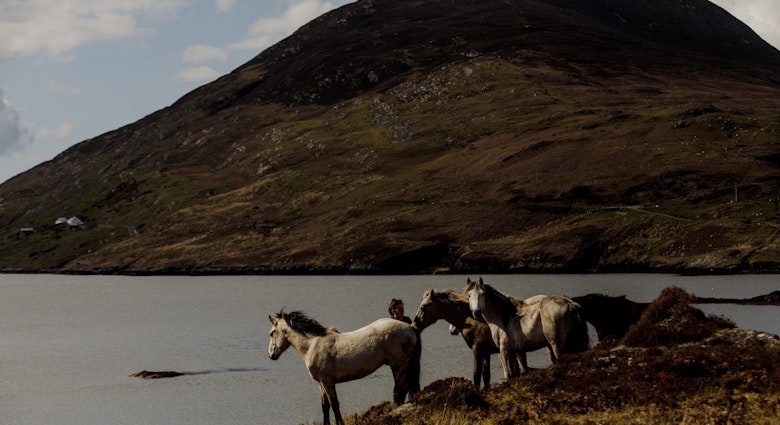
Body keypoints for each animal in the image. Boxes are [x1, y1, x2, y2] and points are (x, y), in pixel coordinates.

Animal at [268, 310, 421, 425]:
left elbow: (334, 404)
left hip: (398, 366)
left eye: (272, 332)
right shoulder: (321, 383)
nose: (271, 354)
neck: (312, 345)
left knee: (401, 389)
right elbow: (325, 406)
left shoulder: (328, 382)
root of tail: (410, 328)